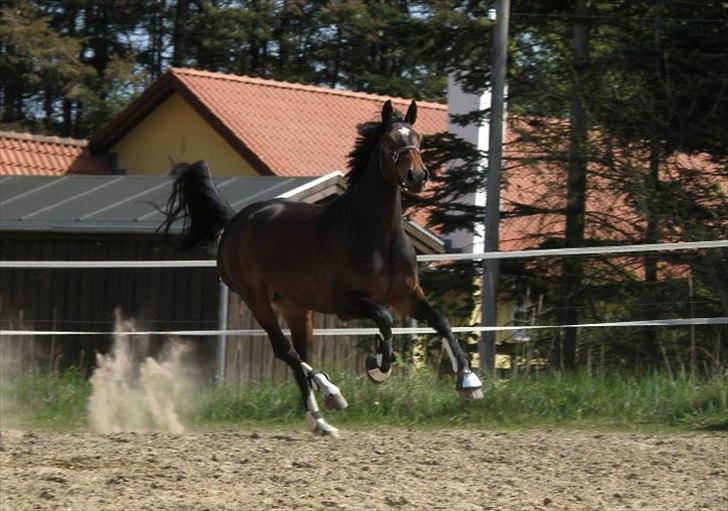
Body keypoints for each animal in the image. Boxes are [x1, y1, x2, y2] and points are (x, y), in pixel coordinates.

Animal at [162, 99, 486, 436]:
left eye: (418, 139)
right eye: (388, 142)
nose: (417, 176)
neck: (376, 236)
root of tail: (236, 221)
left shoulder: (406, 295)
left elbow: (441, 321)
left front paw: (469, 382)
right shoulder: (347, 304)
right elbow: (385, 321)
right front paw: (377, 366)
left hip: (295, 306)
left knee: (299, 354)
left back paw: (320, 419)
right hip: (255, 298)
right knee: (285, 351)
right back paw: (330, 392)